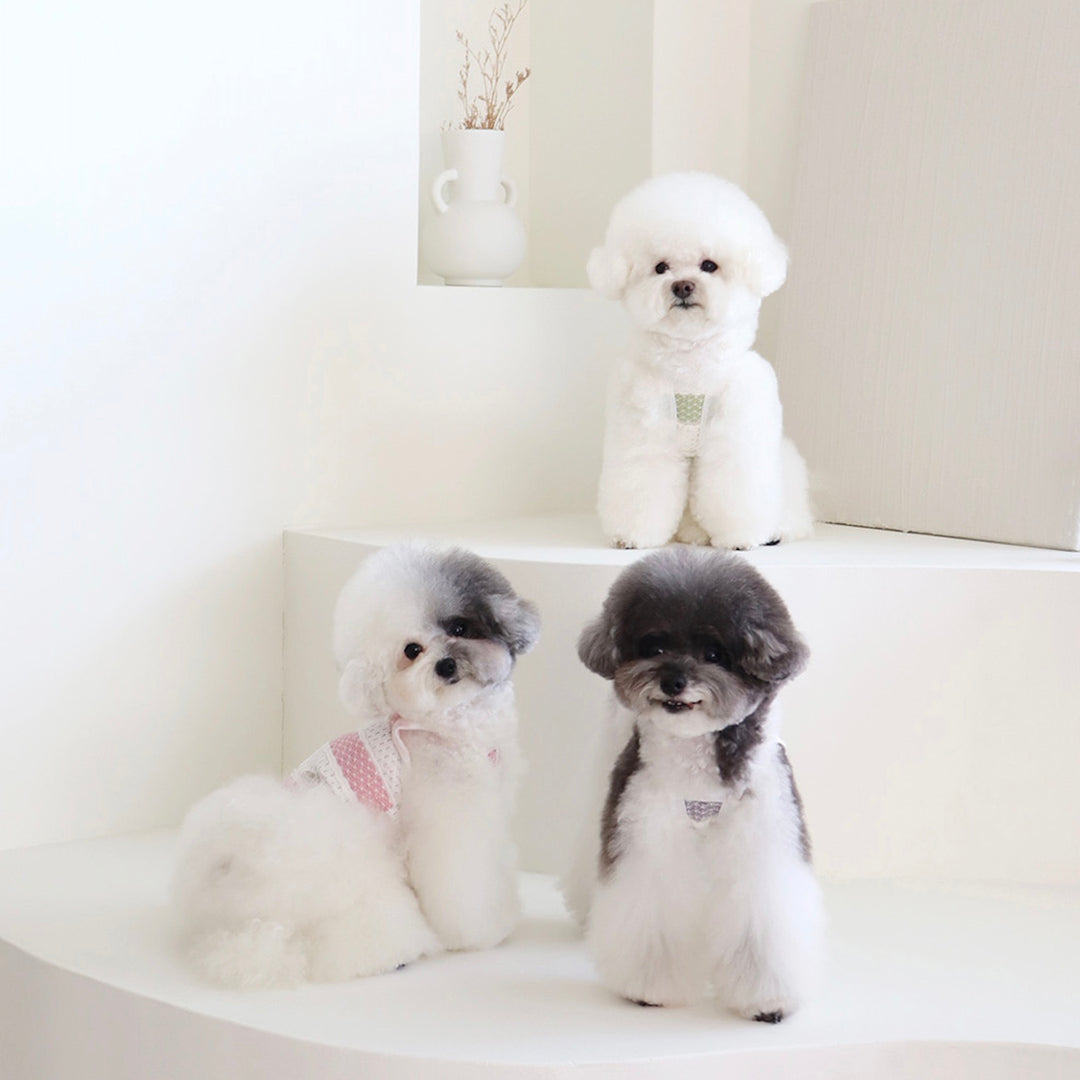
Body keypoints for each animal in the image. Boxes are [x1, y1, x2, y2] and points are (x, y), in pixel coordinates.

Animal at [171, 543, 540, 988]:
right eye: (411, 651)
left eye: (459, 627)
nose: (446, 665)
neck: (451, 721)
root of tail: (226, 864)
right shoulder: (451, 818)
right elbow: (464, 887)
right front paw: (483, 931)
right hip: (349, 867)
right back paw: (393, 953)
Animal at [563, 546, 823, 1021]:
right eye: (655, 645)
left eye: (715, 654)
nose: (672, 681)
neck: (696, 753)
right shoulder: (643, 829)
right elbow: (653, 911)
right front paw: (650, 989)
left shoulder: (765, 833)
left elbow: (762, 920)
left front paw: (765, 1001)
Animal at [587, 171, 813, 551]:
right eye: (660, 267)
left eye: (709, 265)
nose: (682, 286)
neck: (690, 368)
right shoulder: (644, 431)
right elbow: (643, 480)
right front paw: (632, 536)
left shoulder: (737, 435)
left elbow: (734, 486)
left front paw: (740, 538)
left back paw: (778, 531)